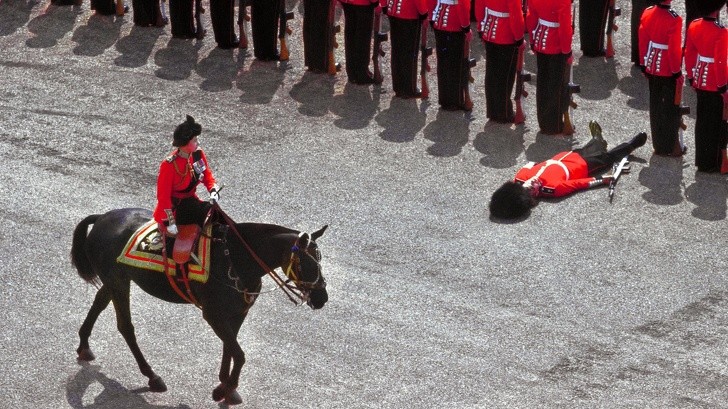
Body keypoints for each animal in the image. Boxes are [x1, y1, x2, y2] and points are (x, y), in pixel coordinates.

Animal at [70, 207, 328, 404]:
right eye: (306, 263)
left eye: (320, 260)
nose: (322, 298)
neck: (236, 258)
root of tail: (102, 217)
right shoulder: (213, 315)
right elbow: (239, 354)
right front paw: (225, 388)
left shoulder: (237, 314)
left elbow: (230, 348)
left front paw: (226, 386)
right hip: (119, 283)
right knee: (126, 326)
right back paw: (152, 376)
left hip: (115, 281)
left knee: (100, 303)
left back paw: (84, 345)